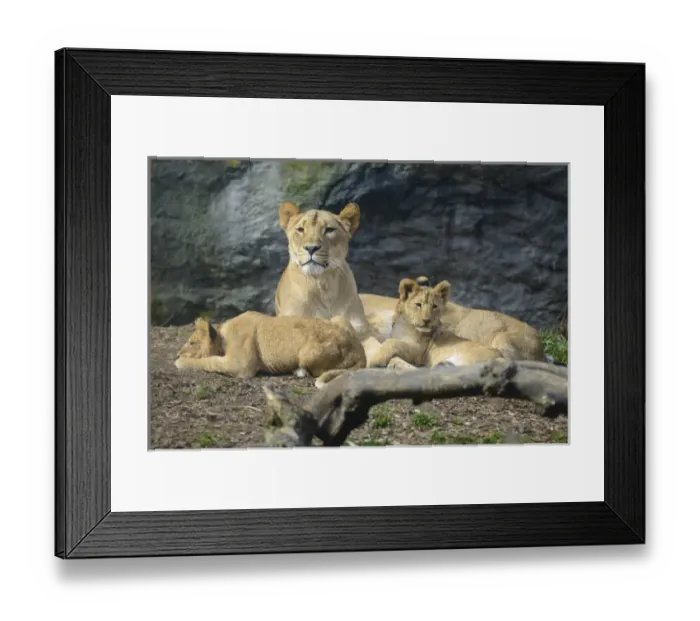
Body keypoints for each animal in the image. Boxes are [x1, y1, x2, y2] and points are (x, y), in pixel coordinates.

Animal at [174, 312, 366, 384]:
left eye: (191, 343)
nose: (176, 354)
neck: (223, 335)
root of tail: (360, 352)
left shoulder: (241, 366)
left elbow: (210, 361)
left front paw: (180, 362)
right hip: (339, 317)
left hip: (308, 353)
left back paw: (300, 372)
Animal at [274, 201, 382, 361]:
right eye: (300, 229)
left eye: (329, 230)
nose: (311, 248)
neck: (322, 284)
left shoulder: (362, 331)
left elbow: (379, 348)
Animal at [366, 277, 503, 370]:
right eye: (418, 305)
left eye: (435, 306)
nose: (427, 320)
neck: (404, 324)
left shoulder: (417, 353)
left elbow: (392, 342)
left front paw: (375, 359)